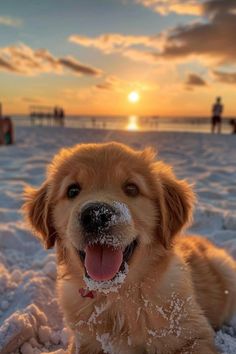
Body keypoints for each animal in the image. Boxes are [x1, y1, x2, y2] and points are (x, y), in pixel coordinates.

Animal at [23, 142, 236, 354]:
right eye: (72, 190)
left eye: (132, 188)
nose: (95, 215)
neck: (118, 297)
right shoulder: (83, 343)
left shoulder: (194, 336)